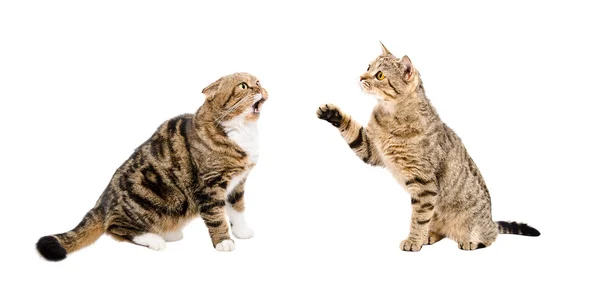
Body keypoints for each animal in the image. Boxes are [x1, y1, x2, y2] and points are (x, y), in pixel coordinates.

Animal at [37, 71, 268, 262]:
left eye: (258, 82)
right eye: (244, 86)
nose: (260, 88)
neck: (242, 130)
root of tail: (103, 201)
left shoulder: (237, 183)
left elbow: (237, 209)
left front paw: (242, 231)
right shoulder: (211, 185)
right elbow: (216, 216)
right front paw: (223, 241)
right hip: (150, 196)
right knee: (116, 228)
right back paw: (154, 239)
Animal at [316, 42, 540, 251]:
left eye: (379, 75)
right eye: (368, 66)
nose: (361, 77)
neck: (389, 114)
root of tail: (491, 220)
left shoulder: (424, 184)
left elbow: (419, 218)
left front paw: (413, 241)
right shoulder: (372, 149)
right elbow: (352, 130)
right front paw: (332, 113)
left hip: (478, 225)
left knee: (491, 236)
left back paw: (470, 241)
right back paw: (430, 235)